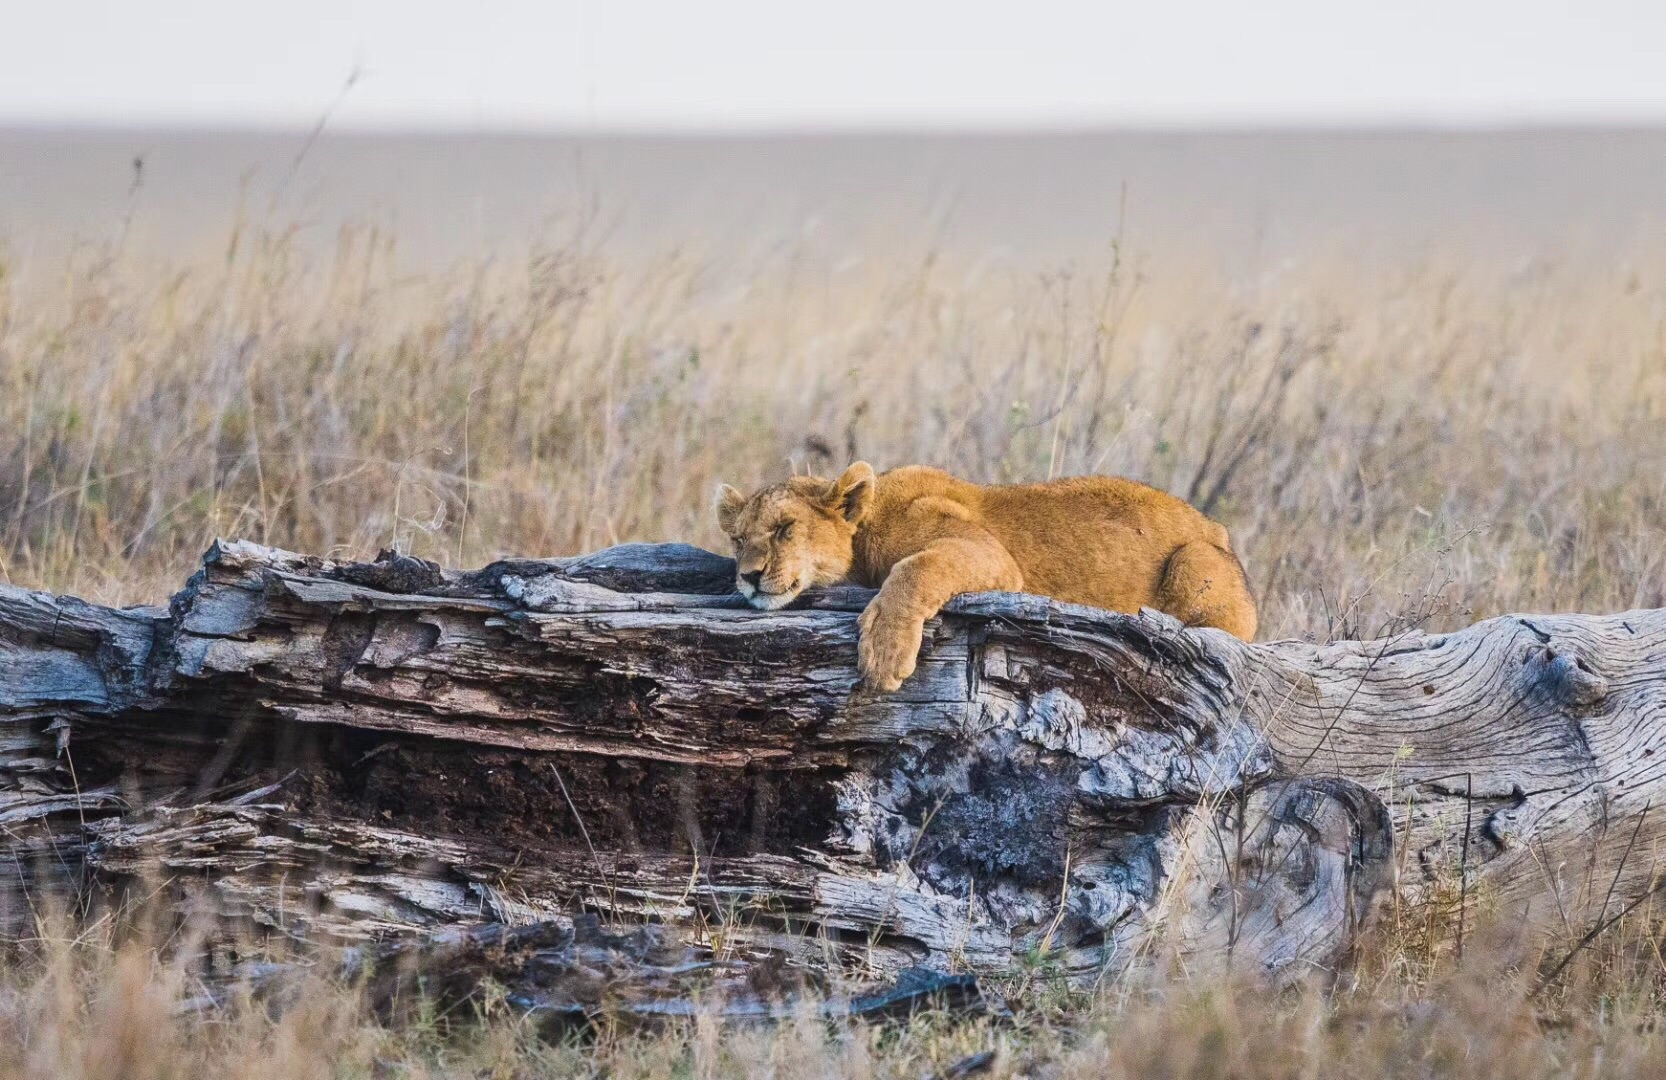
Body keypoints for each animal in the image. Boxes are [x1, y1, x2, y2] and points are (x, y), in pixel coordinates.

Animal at [713, 463, 1252, 693]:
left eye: (784, 529)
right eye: (738, 540)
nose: (749, 577)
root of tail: (1217, 529)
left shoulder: (990, 555)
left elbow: (914, 568)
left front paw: (884, 655)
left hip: (1194, 564)